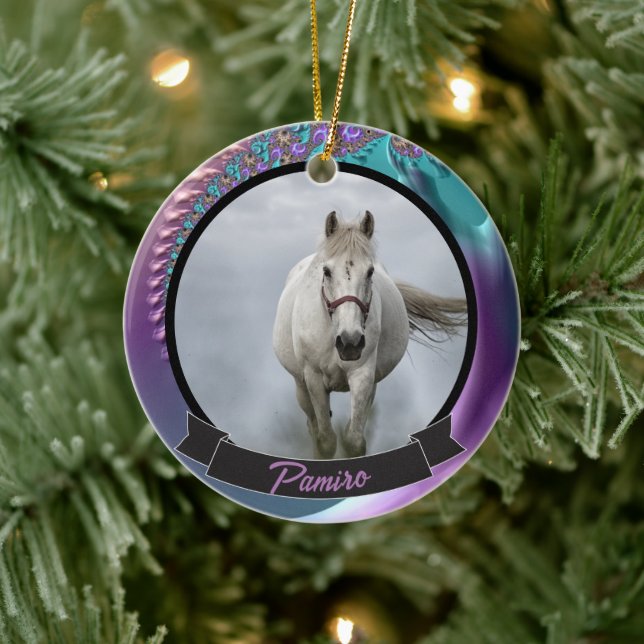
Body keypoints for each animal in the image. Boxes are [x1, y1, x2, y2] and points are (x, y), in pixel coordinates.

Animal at [272, 211, 467, 458]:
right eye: (326, 271)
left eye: (370, 271)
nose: (350, 342)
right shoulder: (313, 378)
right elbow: (325, 441)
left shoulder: (363, 375)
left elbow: (354, 440)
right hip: (301, 386)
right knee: (313, 426)